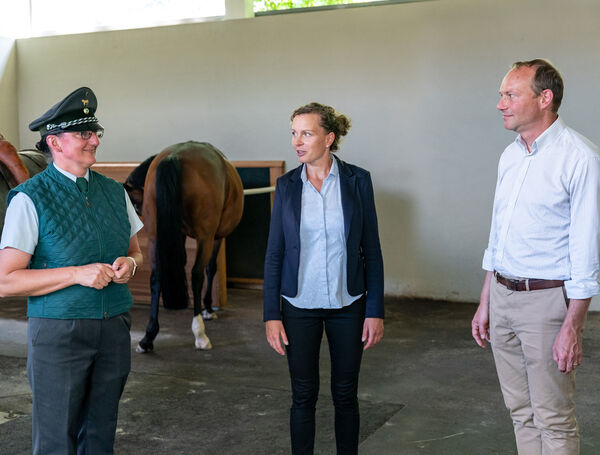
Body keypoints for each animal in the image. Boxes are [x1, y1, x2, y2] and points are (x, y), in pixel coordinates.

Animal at [125, 142, 245, 352]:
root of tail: (174, 156)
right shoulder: (215, 237)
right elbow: (210, 268)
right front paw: (207, 309)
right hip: (205, 238)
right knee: (197, 274)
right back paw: (200, 333)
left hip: (155, 236)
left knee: (156, 277)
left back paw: (148, 337)